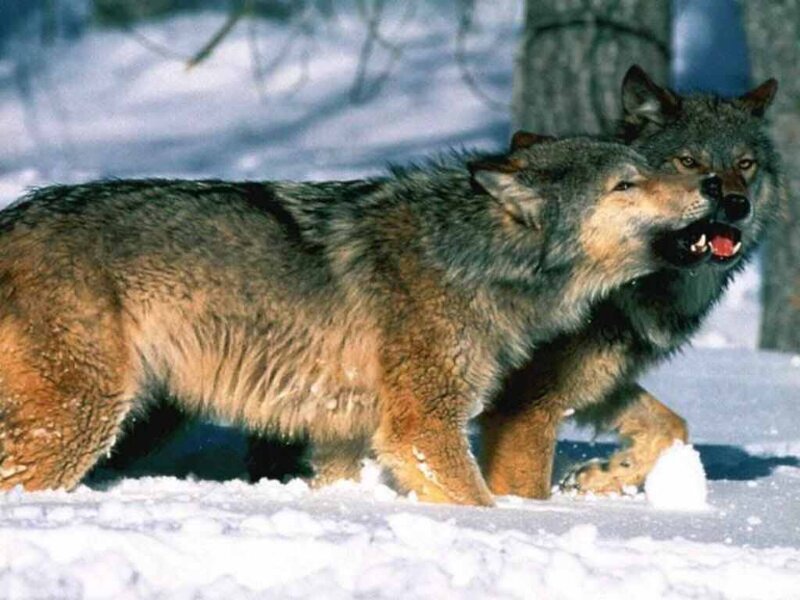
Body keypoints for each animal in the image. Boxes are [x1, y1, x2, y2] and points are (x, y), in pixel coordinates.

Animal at [0, 136, 719, 504]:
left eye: (648, 167)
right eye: (625, 184)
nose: (715, 186)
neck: (472, 255)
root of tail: (10, 218)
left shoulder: (340, 437)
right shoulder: (423, 427)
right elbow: (480, 501)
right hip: (87, 419)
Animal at [479, 66, 782, 499]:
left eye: (745, 164)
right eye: (688, 161)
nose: (737, 205)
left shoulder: (597, 379)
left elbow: (673, 427)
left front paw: (600, 477)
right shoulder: (522, 406)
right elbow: (524, 488)